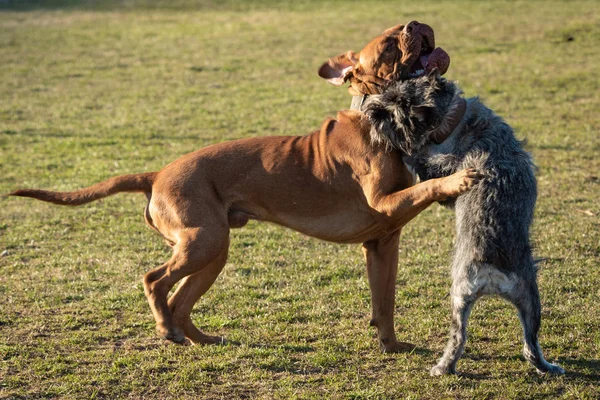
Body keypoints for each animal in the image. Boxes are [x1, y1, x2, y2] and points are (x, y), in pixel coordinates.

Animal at [7, 22, 472, 354]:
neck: (376, 115)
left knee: (180, 302)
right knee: (154, 281)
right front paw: (461, 178)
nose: (415, 22)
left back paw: (198, 338)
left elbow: (385, 301)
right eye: (391, 45)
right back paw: (166, 330)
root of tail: (156, 175)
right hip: (203, 241)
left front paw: (391, 345)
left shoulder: (382, 243)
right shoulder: (386, 204)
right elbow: (428, 188)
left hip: (211, 250)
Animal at [364, 70, 564, 376]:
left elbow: (426, 163)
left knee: (458, 338)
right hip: (529, 303)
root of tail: (492, 272)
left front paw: (409, 154)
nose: (372, 113)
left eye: (397, 108)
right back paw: (545, 366)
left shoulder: (445, 167)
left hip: (462, 294)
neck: (455, 119)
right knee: (530, 345)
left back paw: (442, 367)